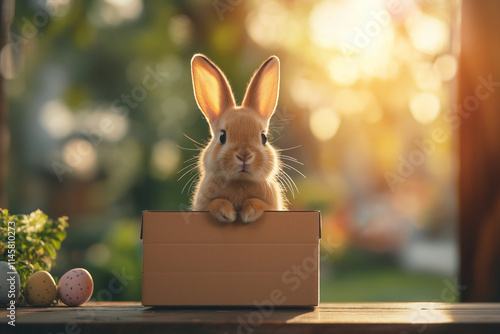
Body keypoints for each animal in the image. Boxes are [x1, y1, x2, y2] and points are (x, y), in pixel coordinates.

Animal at [189, 53, 288, 223]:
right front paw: (227, 213)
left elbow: (259, 203)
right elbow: (215, 203)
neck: (239, 181)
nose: (244, 155)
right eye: (222, 136)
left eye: (264, 138)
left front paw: (249, 212)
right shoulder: (203, 205)